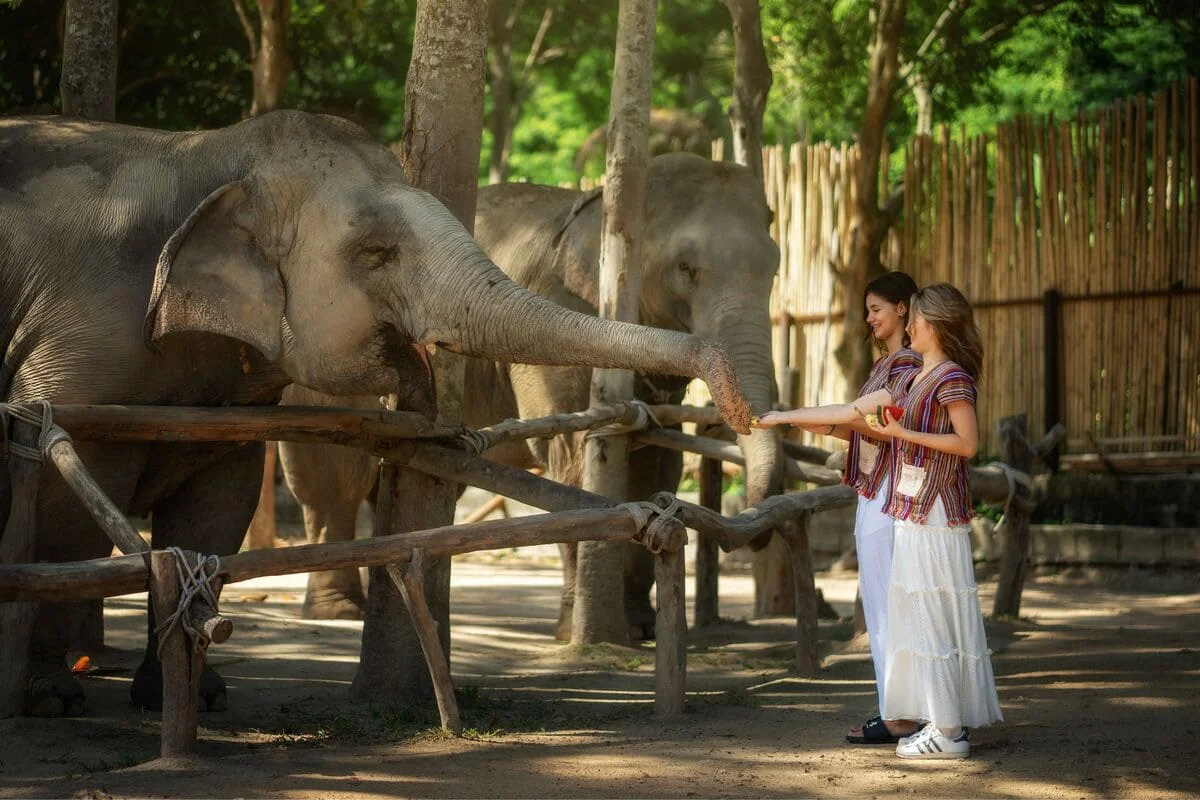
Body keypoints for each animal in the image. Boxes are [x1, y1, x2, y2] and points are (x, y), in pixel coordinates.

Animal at [278, 152, 783, 637]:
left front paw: (639, 629)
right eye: (685, 268)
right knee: (333, 481)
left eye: (777, 267)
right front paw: (574, 633)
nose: (741, 415)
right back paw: (339, 611)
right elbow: (572, 458)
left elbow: (658, 464)